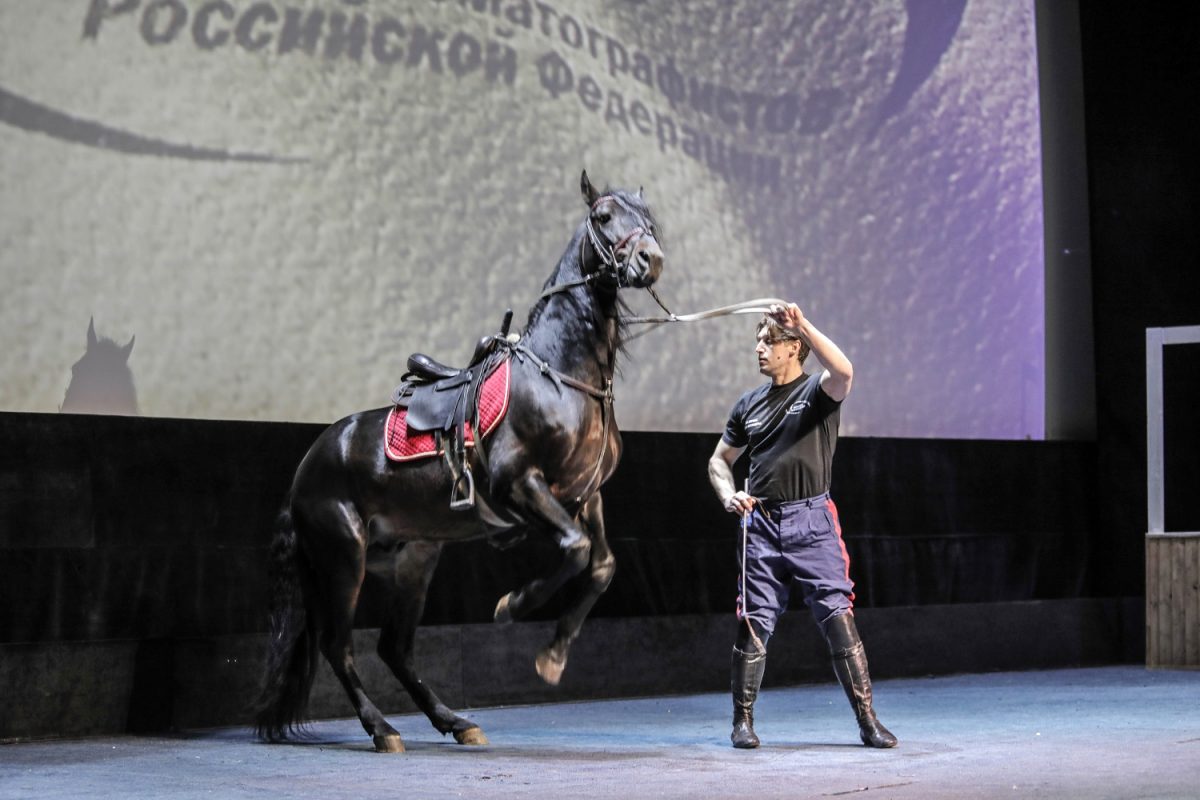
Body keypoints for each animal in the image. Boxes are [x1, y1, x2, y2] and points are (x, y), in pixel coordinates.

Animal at [253, 171, 665, 753]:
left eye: (648, 219)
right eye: (603, 217)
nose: (650, 259)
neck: (561, 376)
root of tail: (306, 468)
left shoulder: (586, 495)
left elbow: (601, 565)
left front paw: (554, 654)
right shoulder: (522, 484)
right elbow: (574, 548)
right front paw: (512, 605)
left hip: (413, 559)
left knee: (393, 648)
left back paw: (455, 722)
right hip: (342, 557)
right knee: (339, 646)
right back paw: (383, 730)